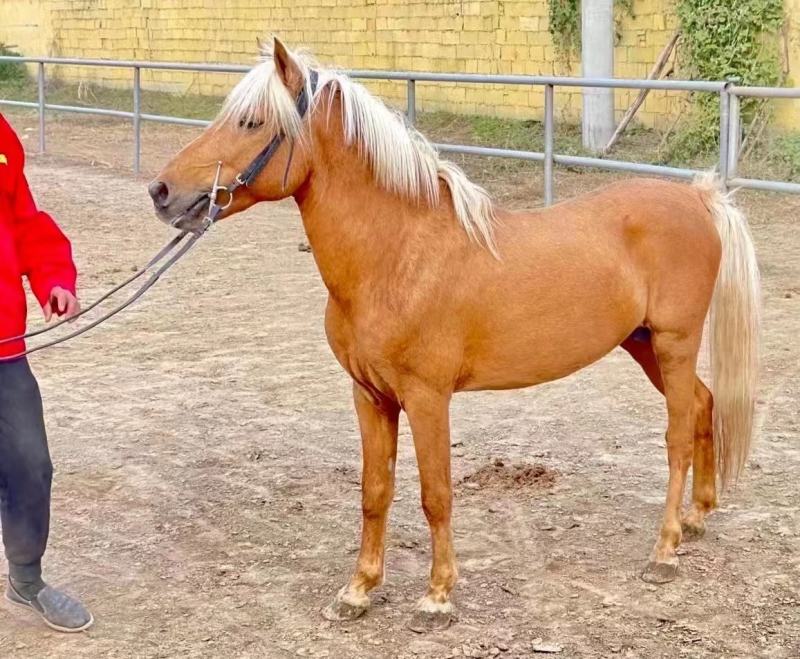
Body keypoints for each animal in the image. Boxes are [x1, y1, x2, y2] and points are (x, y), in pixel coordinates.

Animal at [149, 38, 760, 632]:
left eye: (251, 122)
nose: (161, 191)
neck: (397, 255)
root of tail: (698, 198)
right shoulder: (370, 397)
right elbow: (375, 492)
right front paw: (358, 591)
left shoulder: (427, 398)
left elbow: (435, 494)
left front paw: (437, 598)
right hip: (643, 345)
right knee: (703, 405)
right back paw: (697, 517)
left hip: (673, 343)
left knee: (677, 435)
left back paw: (665, 551)